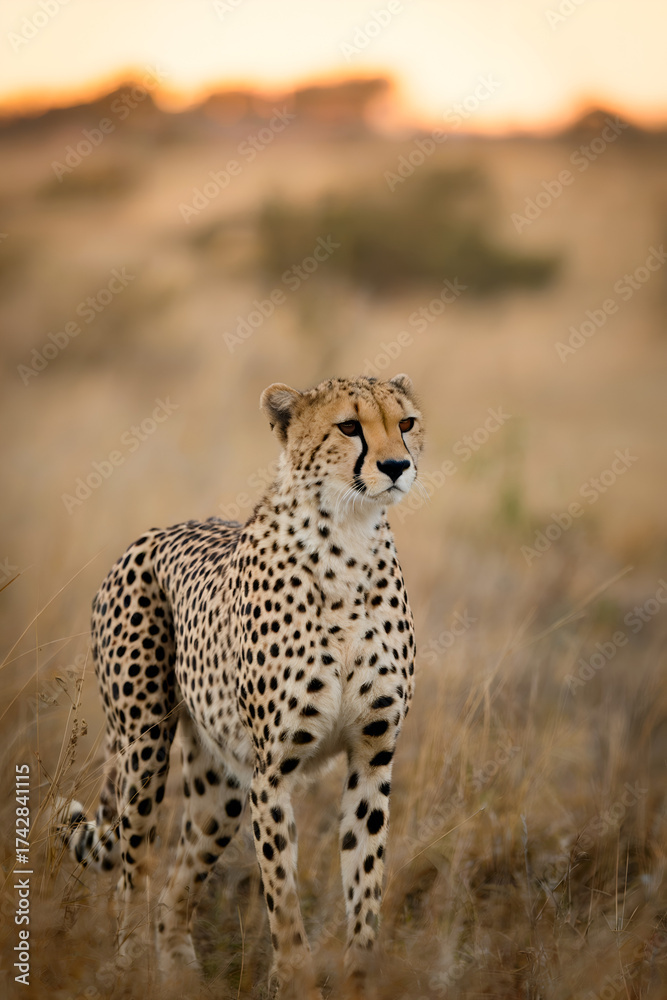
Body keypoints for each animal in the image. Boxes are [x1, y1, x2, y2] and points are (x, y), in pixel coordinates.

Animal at [55, 373, 424, 999]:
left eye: (406, 423)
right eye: (350, 426)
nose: (397, 465)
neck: (350, 538)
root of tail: (154, 531)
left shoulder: (372, 758)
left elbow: (365, 887)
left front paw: (360, 978)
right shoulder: (271, 773)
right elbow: (283, 901)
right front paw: (296, 980)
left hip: (221, 784)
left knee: (173, 893)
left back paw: (180, 976)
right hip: (146, 750)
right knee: (133, 875)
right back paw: (132, 969)